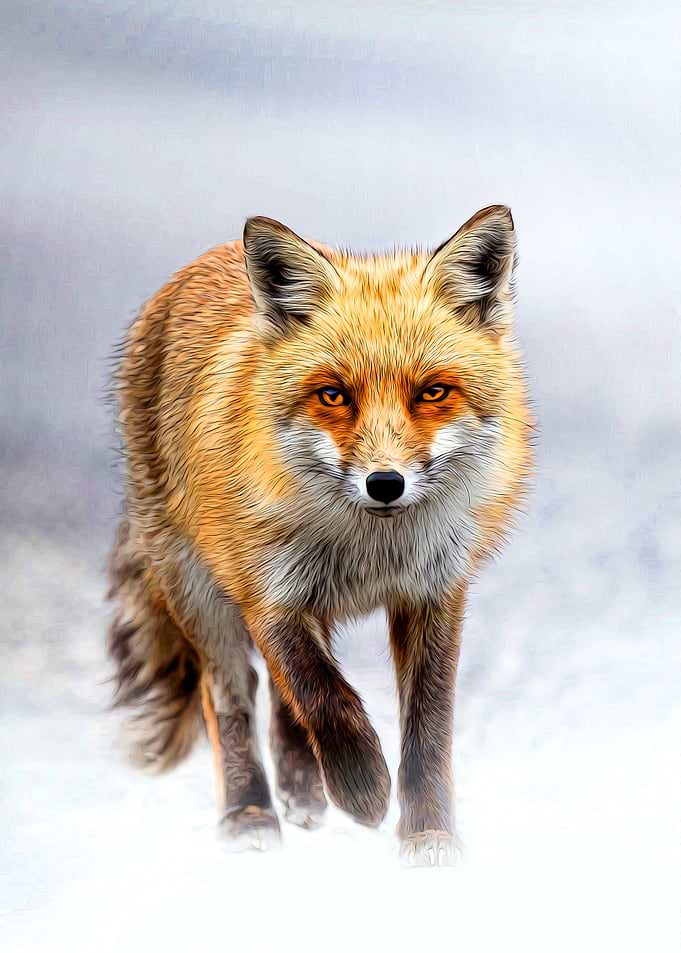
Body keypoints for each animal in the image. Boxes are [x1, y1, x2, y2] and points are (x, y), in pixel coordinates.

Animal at [107, 205, 533, 866]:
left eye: (432, 392)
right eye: (333, 395)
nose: (385, 483)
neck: (371, 550)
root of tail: (203, 261)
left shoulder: (435, 594)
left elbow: (427, 727)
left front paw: (429, 832)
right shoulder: (267, 590)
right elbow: (323, 696)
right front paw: (362, 787)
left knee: (283, 698)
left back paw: (302, 787)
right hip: (196, 590)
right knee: (234, 692)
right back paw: (249, 811)